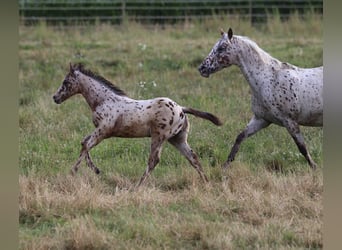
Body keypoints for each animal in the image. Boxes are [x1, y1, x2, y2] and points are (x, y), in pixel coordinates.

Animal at [53, 63, 223, 187]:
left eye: (66, 82)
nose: (55, 97)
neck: (103, 100)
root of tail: (181, 108)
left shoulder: (103, 130)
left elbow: (86, 145)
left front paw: (73, 172)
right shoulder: (101, 131)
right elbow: (84, 142)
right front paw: (95, 170)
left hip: (159, 137)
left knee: (154, 160)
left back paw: (138, 186)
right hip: (177, 139)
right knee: (193, 157)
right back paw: (206, 183)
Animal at [198, 28, 324, 170]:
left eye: (222, 47)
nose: (202, 68)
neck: (268, 80)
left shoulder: (290, 121)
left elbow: (302, 147)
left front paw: (314, 167)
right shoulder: (262, 119)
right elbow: (240, 137)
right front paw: (225, 166)